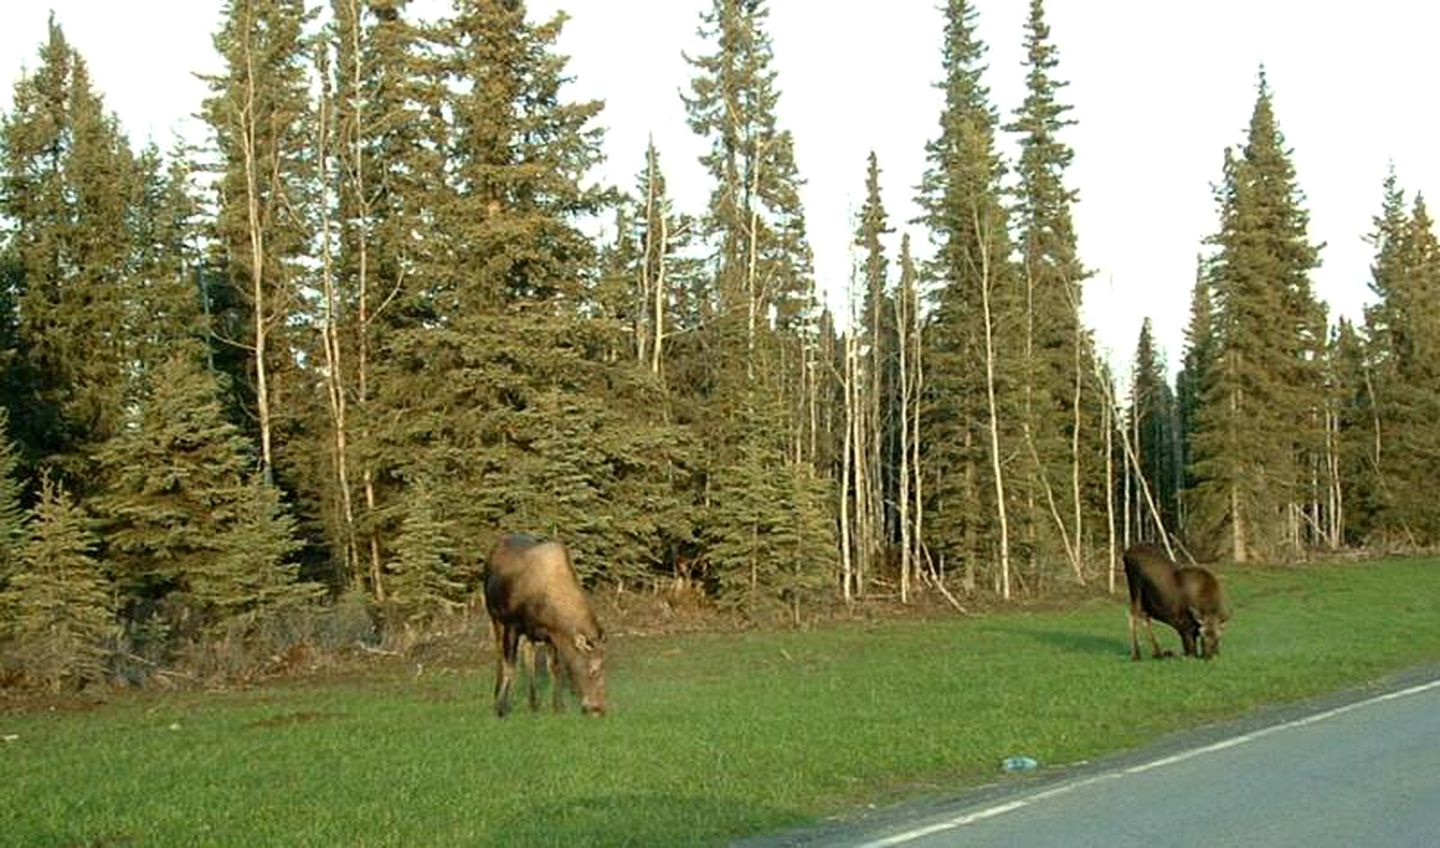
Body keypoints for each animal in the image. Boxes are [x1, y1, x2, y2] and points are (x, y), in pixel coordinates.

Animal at [478, 535, 601, 714]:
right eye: (594, 671)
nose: (598, 708)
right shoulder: (512, 624)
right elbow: (511, 666)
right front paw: (501, 707)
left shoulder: (550, 634)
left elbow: (554, 668)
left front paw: (558, 706)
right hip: (495, 616)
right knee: (500, 652)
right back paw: (497, 693)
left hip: (529, 633)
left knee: (529, 656)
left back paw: (533, 702)